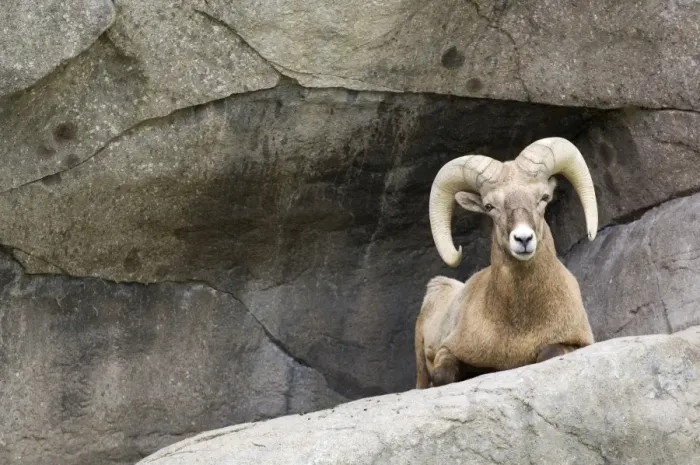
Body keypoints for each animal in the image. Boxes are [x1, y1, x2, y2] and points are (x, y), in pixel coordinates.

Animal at [414, 137, 598, 389]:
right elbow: (442, 376)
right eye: (489, 206)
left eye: (544, 197)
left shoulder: (578, 343)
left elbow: (547, 353)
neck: (520, 326)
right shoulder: (447, 350)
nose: (523, 239)